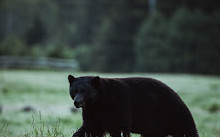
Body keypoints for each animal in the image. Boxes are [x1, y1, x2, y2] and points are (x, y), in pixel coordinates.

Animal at [68, 75, 199, 136]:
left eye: (85, 91)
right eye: (74, 90)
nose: (77, 102)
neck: (100, 101)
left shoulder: (119, 104)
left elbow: (119, 128)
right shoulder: (92, 112)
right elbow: (89, 128)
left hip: (174, 113)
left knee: (188, 130)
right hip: (156, 126)